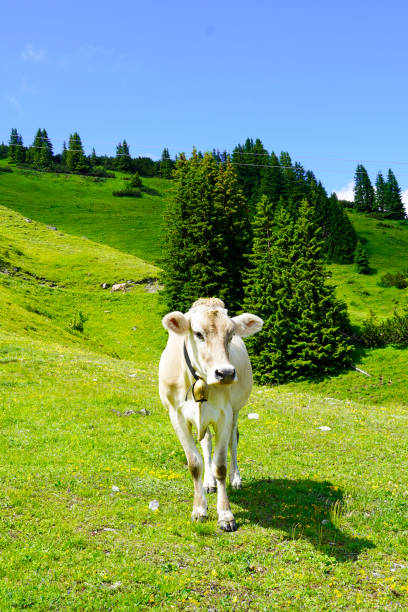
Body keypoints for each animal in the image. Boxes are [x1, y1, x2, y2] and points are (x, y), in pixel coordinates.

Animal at [158, 298, 262, 532]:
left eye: (231, 333)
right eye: (198, 333)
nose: (226, 373)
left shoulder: (225, 414)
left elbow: (220, 465)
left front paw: (225, 515)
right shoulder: (176, 415)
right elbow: (194, 463)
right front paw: (199, 509)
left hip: (236, 410)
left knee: (234, 439)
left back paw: (236, 479)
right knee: (206, 442)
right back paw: (208, 483)